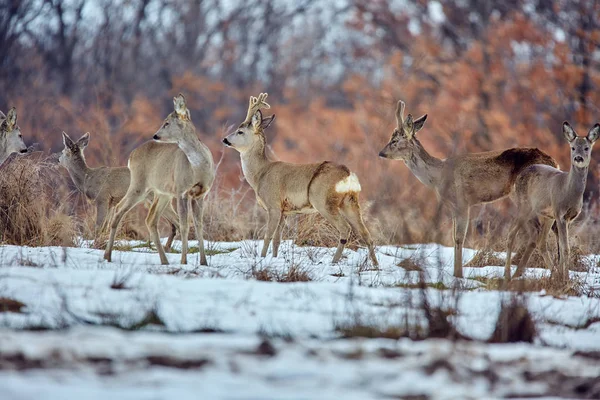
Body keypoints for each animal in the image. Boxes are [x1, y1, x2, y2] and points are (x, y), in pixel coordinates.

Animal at [104, 94, 214, 266]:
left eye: (167, 122)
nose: (155, 135)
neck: (197, 168)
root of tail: (131, 156)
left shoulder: (200, 194)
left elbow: (198, 225)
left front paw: (203, 262)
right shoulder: (181, 190)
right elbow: (184, 225)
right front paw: (184, 261)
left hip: (162, 193)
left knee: (150, 219)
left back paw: (164, 260)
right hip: (139, 185)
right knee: (119, 208)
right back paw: (107, 255)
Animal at [223, 93, 378, 266]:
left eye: (240, 131)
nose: (225, 140)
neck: (259, 174)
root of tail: (348, 175)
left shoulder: (273, 205)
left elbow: (267, 237)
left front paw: (262, 259)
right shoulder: (285, 211)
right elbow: (277, 239)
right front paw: (274, 259)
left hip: (323, 201)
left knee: (345, 229)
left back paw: (334, 261)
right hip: (350, 202)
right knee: (366, 234)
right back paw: (375, 265)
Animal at [380, 99, 556, 278]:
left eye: (394, 141)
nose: (381, 153)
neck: (439, 176)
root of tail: (553, 162)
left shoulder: (463, 201)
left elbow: (459, 238)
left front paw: (459, 274)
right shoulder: (453, 206)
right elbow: (453, 237)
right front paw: (456, 273)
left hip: (525, 198)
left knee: (535, 232)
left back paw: (515, 275)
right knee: (543, 235)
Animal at [504, 122, 596, 282]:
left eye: (586, 148)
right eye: (573, 147)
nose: (578, 158)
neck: (568, 190)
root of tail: (520, 175)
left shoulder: (568, 218)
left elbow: (562, 248)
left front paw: (564, 277)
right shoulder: (560, 213)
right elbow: (565, 248)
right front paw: (566, 279)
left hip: (546, 216)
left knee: (541, 242)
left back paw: (554, 273)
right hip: (524, 206)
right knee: (511, 234)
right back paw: (508, 275)